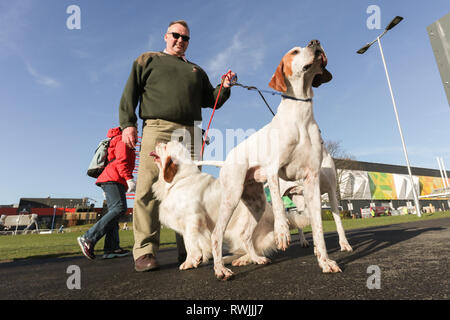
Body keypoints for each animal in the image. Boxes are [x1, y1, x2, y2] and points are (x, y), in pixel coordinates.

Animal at [211, 40, 342, 280]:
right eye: (294, 51)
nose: (315, 42)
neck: (300, 115)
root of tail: (226, 160)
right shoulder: (273, 170)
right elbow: (281, 208)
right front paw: (282, 233)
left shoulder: (311, 181)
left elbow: (318, 228)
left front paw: (325, 261)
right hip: (231, 197)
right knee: (216, 234)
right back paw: (220, 269)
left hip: (257, 203)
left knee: (245, 234)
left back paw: (255, 258)